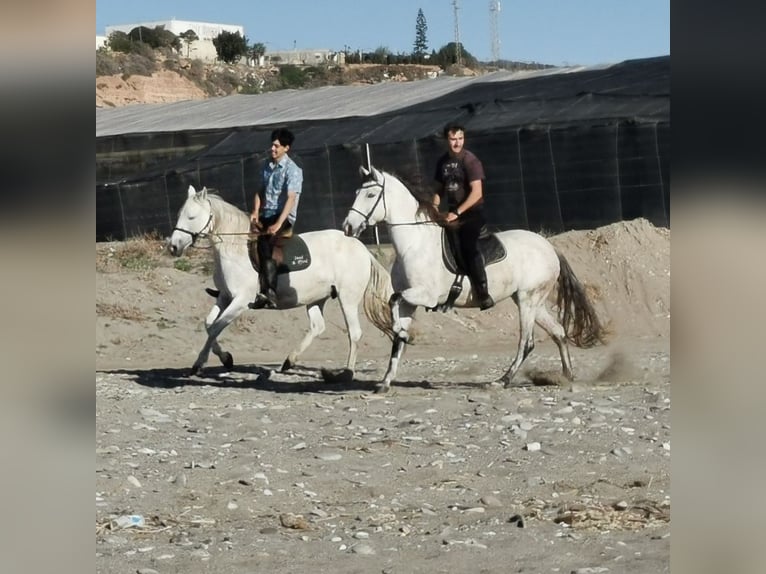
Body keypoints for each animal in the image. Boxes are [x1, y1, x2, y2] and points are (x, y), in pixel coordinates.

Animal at [170, 187, 392, 380]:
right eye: (180, 215)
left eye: (191, 217)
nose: (173, 246)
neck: (235, 250)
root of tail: (362, 248)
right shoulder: (225, 296)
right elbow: (209, 325)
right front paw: (224, 359)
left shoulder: (241, 300)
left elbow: (216, 327)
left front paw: (201, 364)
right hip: (316, 297)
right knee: (317, 326)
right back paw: (288, 362)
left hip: (347, 298)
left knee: (354, 333)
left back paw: (347, 373)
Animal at [342, 164, 608, 394]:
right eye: (355, 193)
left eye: (371, 194)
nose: (348, 227)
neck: (413, 244)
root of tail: (549, 247)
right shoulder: (411, 301)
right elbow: (397, 337)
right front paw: (385, 381)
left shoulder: (426, 296)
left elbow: (394, 301)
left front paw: (399, 330)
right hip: (532, 301)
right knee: (559, 332)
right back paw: (567, 377)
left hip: (527, 300)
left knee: (527, 342)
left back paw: (502, 381)